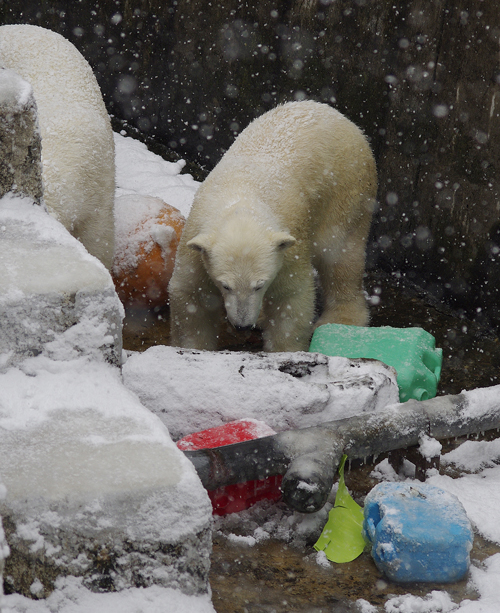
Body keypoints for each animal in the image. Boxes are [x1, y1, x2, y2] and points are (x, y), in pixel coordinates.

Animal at [168, 100, 376, 350]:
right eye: (225, 285)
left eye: (259, 284)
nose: (242, 325)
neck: (242, 203)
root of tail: (332, 111)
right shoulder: (196, 239)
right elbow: (191, 296)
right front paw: (193, 347)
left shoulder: (289, 248)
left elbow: (290, 298)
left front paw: (285, 349)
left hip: (346, 185)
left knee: (339, 252)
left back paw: (343, 319)